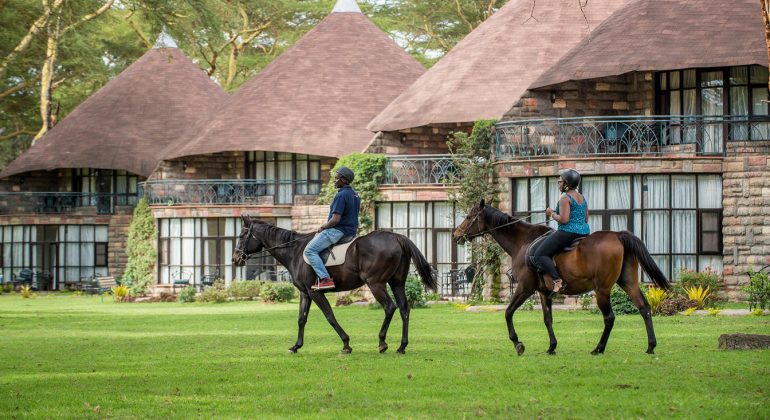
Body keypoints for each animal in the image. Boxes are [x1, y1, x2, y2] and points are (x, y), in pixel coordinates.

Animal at [231, 217, 436, 354]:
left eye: (241, 235)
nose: (235, 259)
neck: (295, 251)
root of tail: (397, 238)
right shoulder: (305, 293)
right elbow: (301, 319)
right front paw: (296, 346)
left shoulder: (315, 293)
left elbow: (330, 316)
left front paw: (346, 344)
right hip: (397, 283)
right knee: (404, 309)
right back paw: (402, 346)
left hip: (376, 284)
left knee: (389, 307)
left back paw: (382, 342)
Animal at [452, 199, 668, 354]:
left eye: (469, 216)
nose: (455, 235)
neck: (522, 242)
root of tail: (617, 235)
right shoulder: (543, 292)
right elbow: (547, 319)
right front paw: (552, 347)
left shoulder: (525, 288)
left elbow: (508, 312)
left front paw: (517, 343)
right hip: (627, 282)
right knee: (644, 308)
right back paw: (650, 346)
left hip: (602, 289)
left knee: (609, 318)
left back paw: (598, 348)